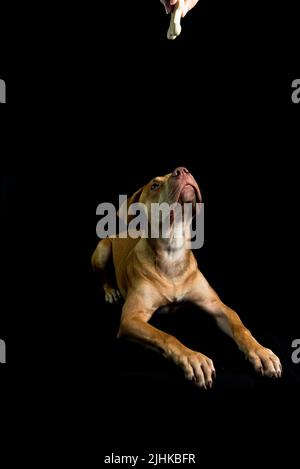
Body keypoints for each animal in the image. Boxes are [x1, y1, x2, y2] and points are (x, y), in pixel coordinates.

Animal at [92, 166, 282, 386]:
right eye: (154, 185)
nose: (181, 170)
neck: (172, 250)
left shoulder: (215, 305)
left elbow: (240, 328)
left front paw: (261, 352)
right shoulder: (131, 319)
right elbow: (166, 337)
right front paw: (193, 358)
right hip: (102, 250)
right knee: (103, 276)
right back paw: (110, 292)